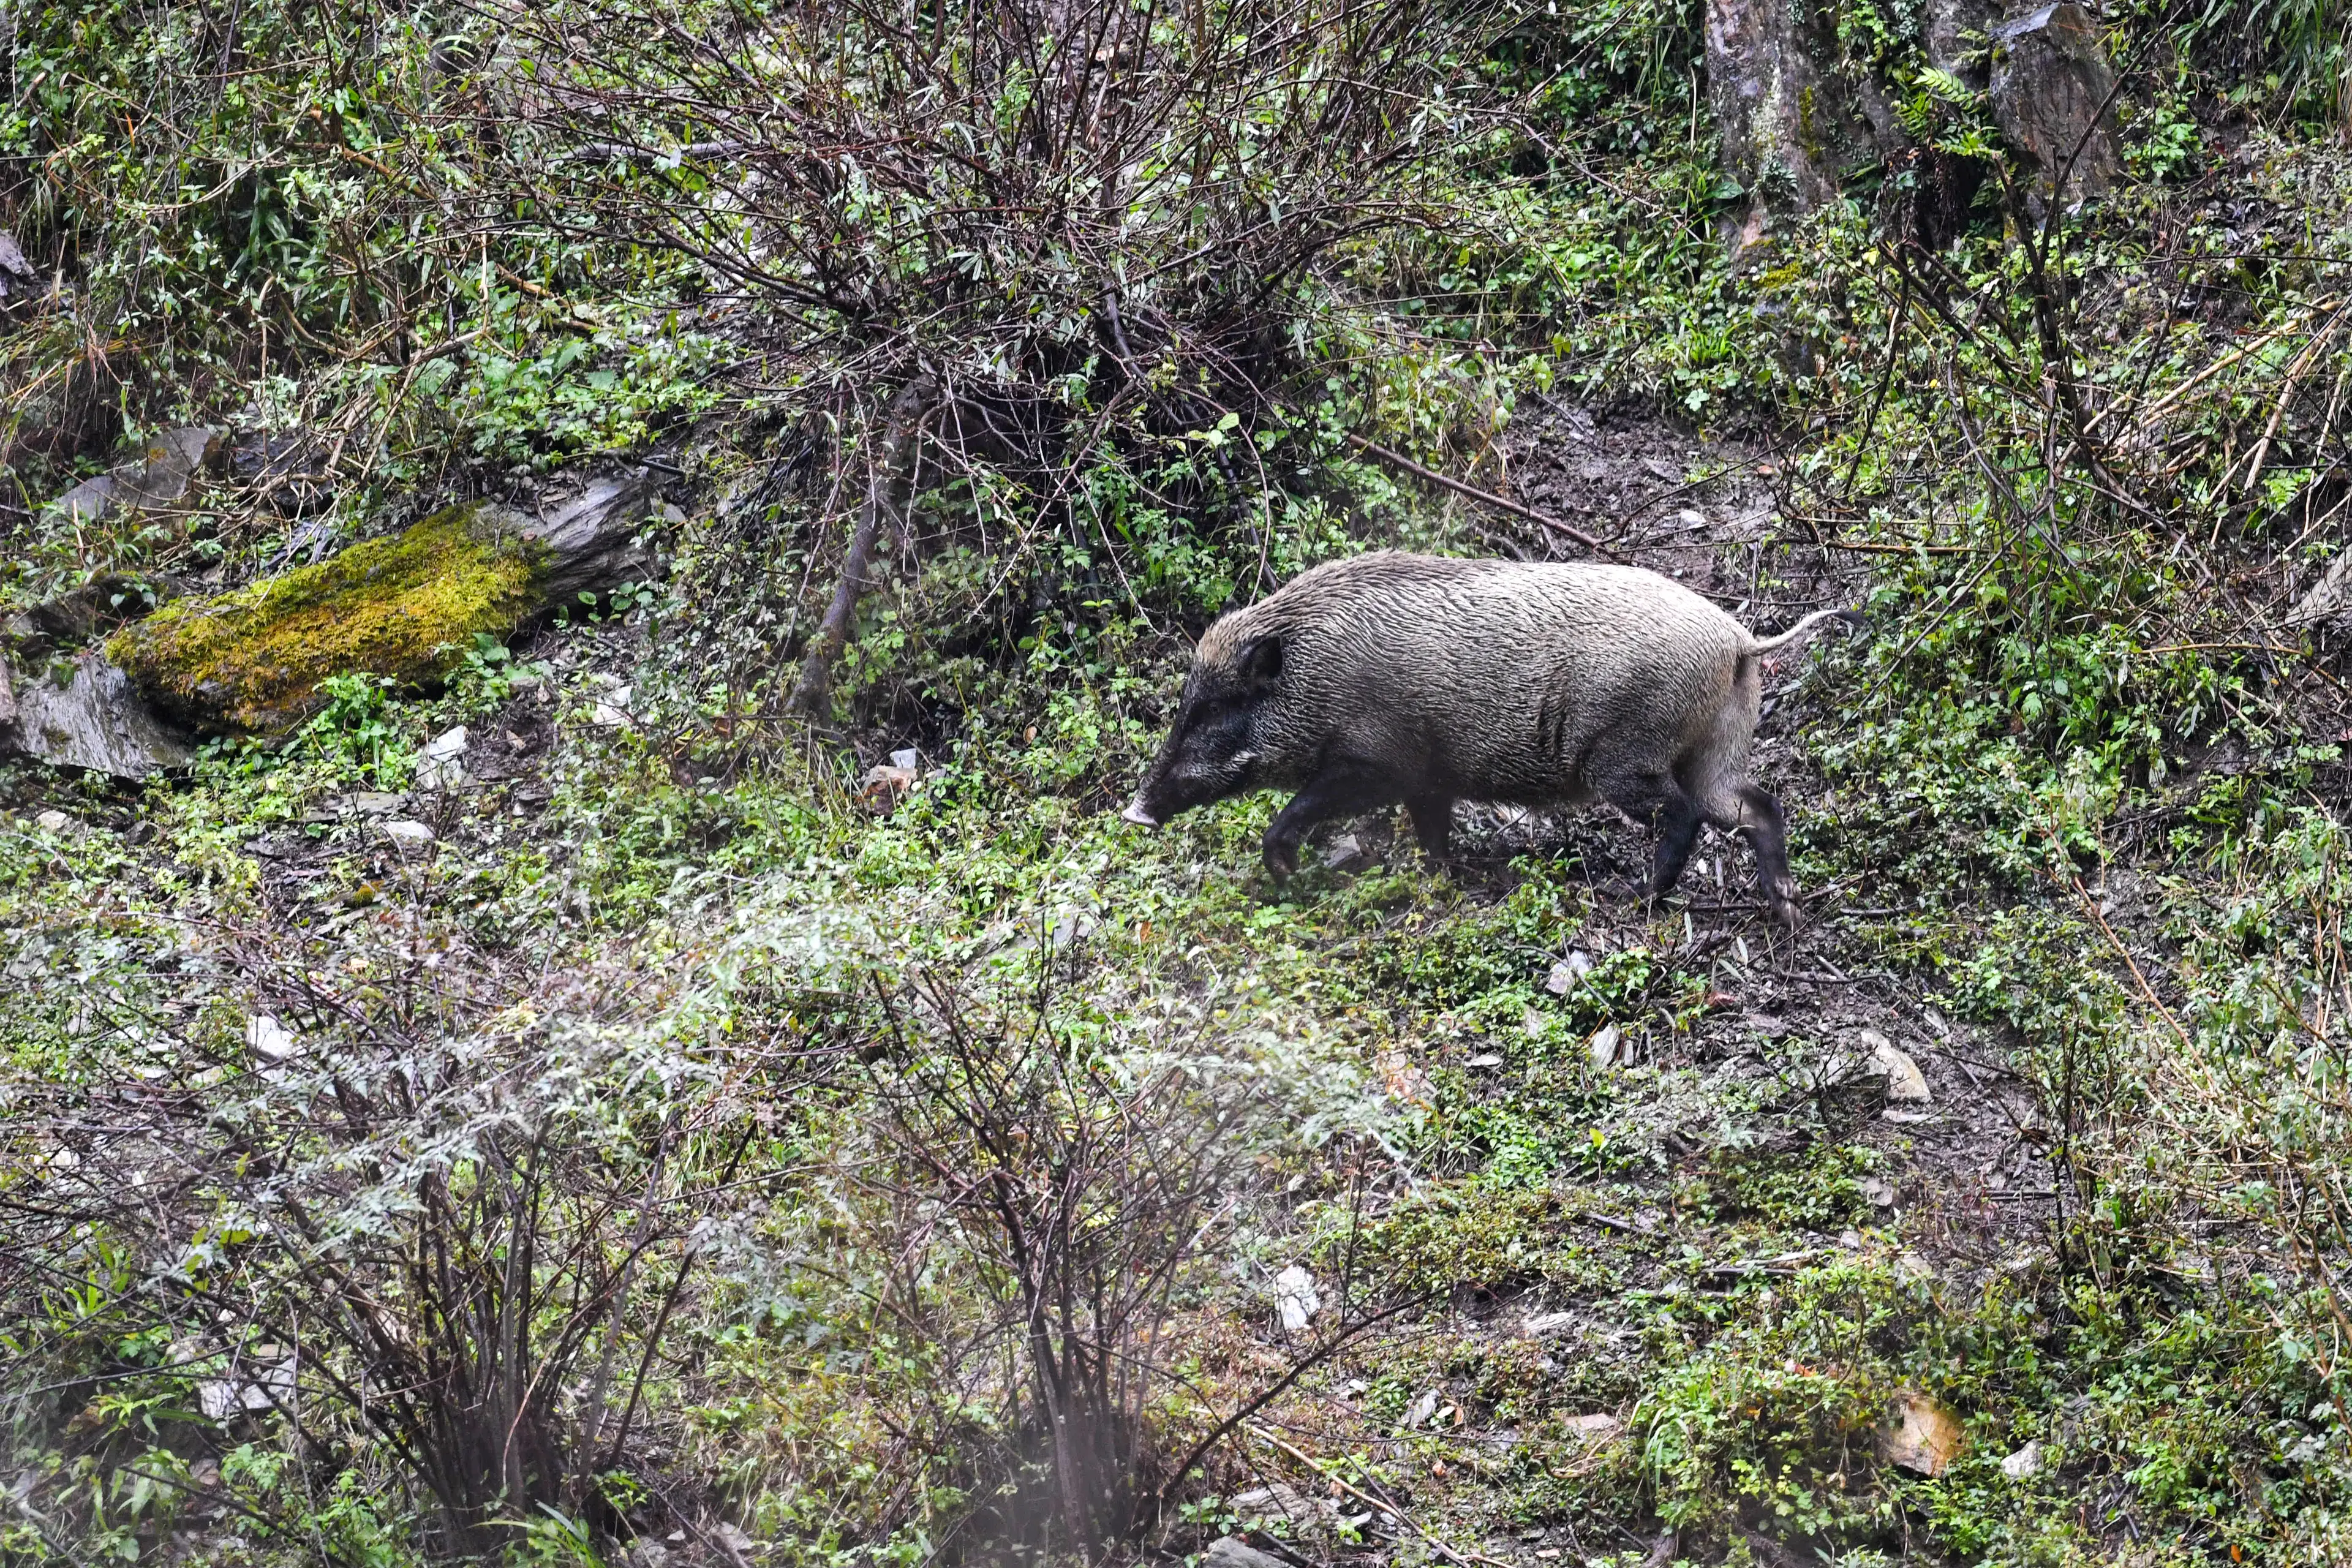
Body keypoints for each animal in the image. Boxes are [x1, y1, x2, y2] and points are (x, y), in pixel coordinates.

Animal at [1120, 551, 1854, 927]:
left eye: (1217, 707)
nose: (1135, 810)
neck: (1312, 676)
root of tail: (1738, 640)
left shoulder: (1378, 762)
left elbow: (1299, 812)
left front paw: (1287, 874)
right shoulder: (1429, 781)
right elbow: (1433, 835)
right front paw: (1444, 879)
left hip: (1625, 758)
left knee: (1684, 814)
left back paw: (1638, 898)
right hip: (1716, 750)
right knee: (1757, 805)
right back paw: (1787, 908)